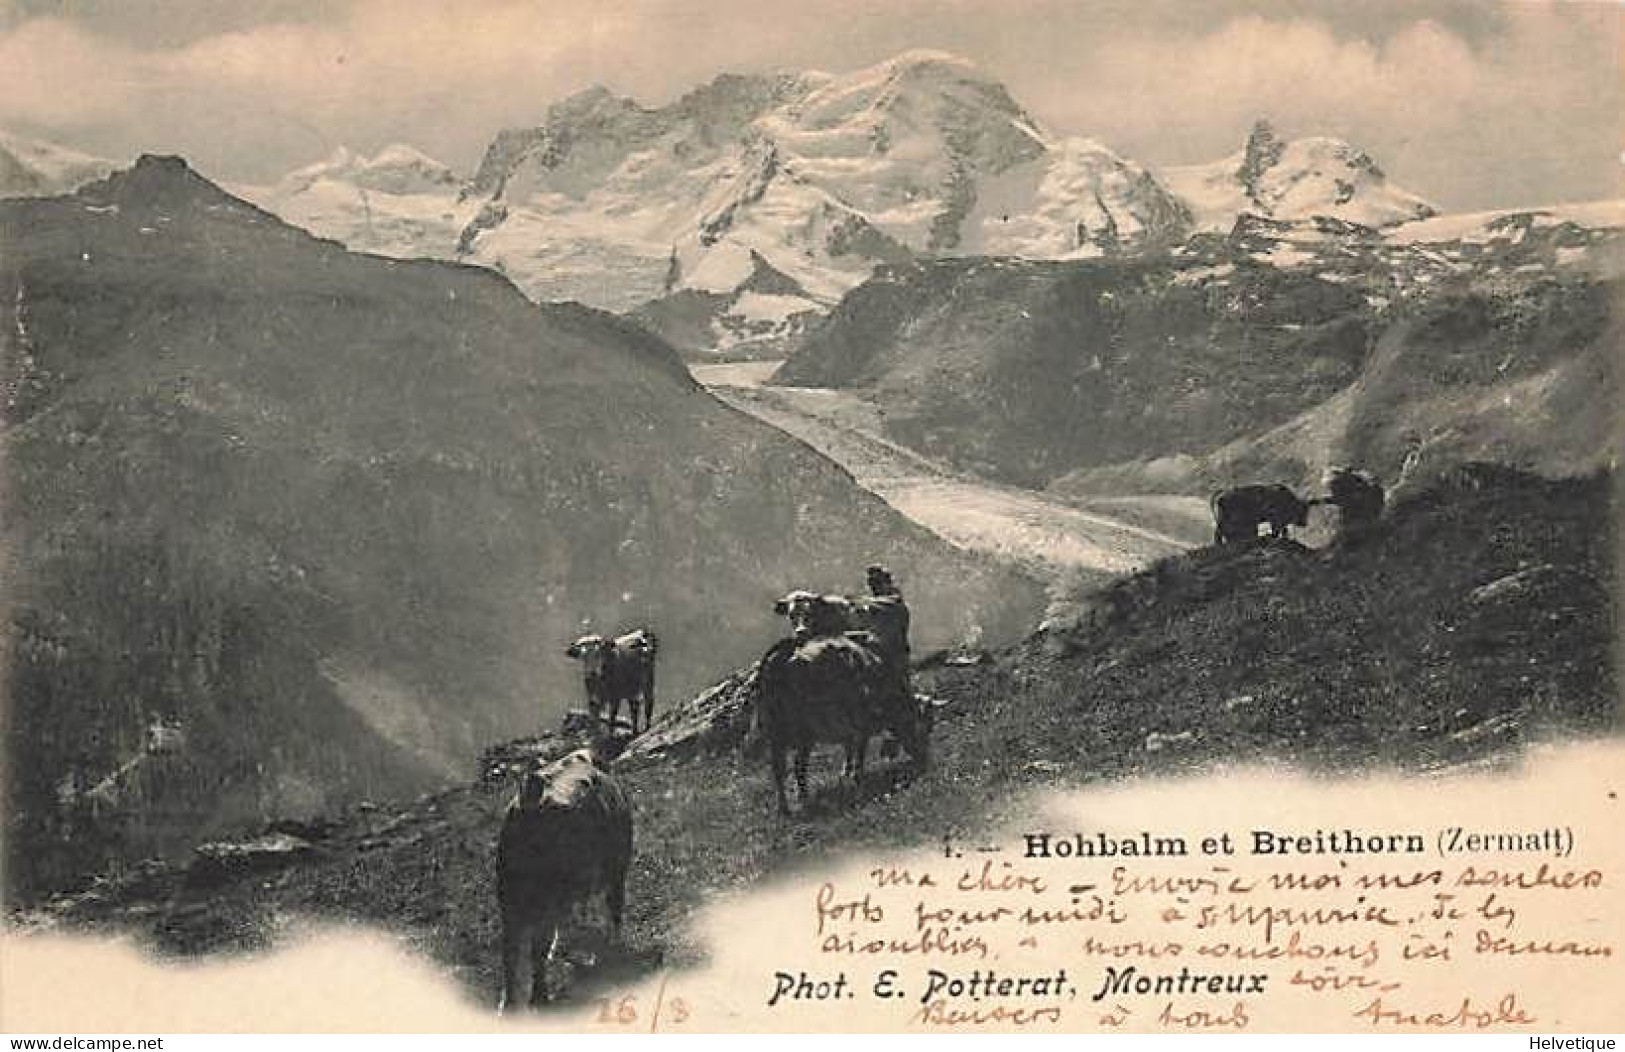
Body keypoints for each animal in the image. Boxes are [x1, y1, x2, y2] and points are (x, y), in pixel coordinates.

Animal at [490, 747, 630, 1014]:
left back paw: (511, 1005)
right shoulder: (616, 865)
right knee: (533, 946)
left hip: (512, 898)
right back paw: (538, 998)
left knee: (512, 949)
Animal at [750, 591, 923, 816]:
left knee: (785, 767)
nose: (800, 631)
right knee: (790, 766)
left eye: (809, 613)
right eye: (791, 615)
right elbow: (855, 747)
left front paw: (849, 773)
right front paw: (852, 775)